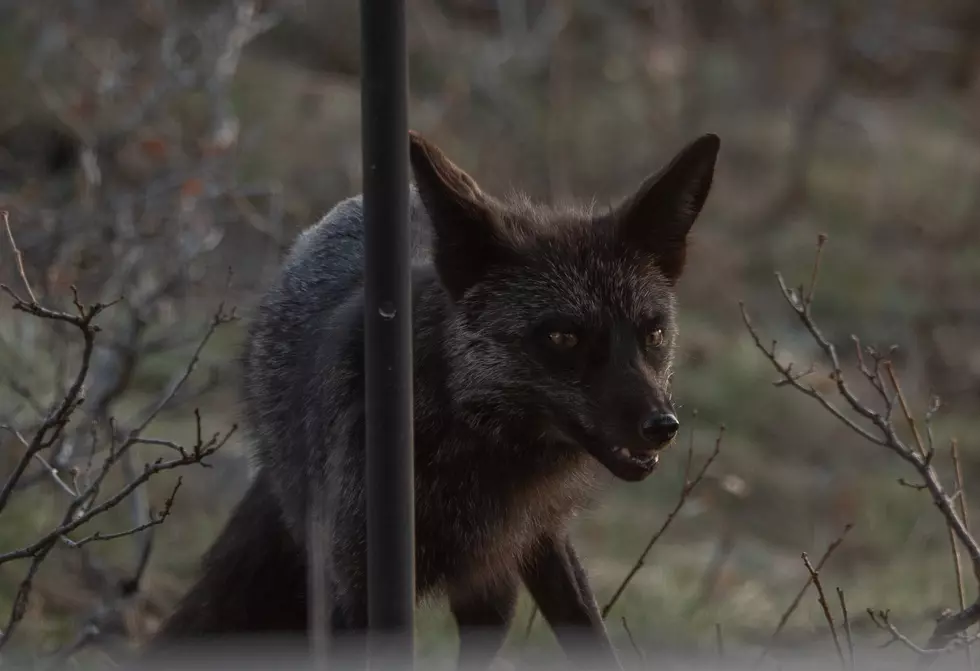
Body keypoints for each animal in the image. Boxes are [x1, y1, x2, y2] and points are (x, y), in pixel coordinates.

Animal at [145, 133, 724, 671]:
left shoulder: (528, 548)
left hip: (499, 588)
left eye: (653, 334)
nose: (662, 426)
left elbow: (590, 631)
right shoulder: (358, 592)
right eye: (564, 338)